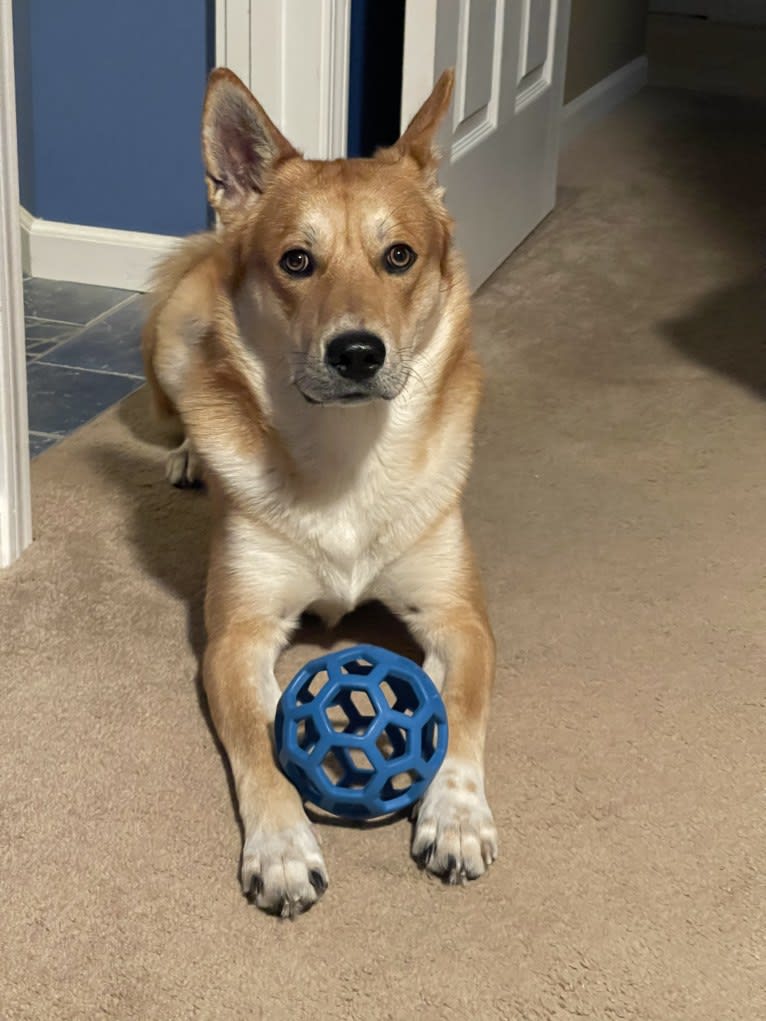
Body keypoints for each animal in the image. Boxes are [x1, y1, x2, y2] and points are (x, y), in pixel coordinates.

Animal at [141, 65, 498, 918]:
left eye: (399, 255)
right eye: (297, 261)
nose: (357, 352)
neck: (348, 457)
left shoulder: (459, 617)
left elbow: (459, 706)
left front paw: (456, 812)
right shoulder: (237, 637)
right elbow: (261, 737)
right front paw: (280, 845)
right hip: (173, 346)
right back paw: (189, 454)